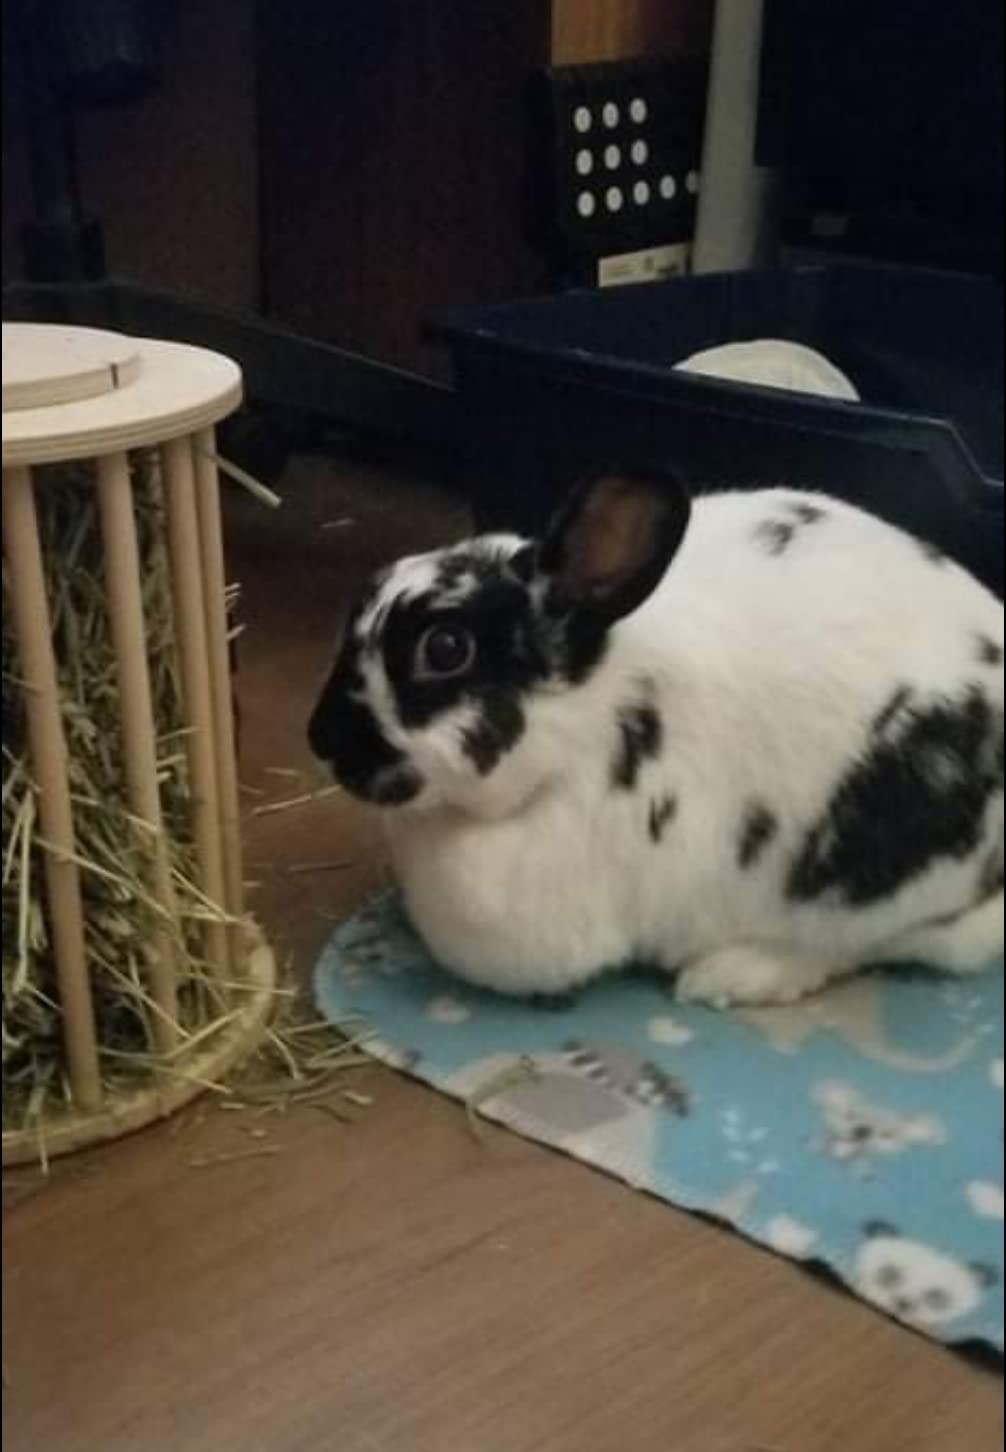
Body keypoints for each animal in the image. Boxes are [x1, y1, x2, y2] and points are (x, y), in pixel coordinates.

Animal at [308, 468, 1004, 1008]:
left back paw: (733, 975)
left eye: (446, 648)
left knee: (868, 943)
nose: (320, 739)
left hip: (884, 873)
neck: (586, 723)